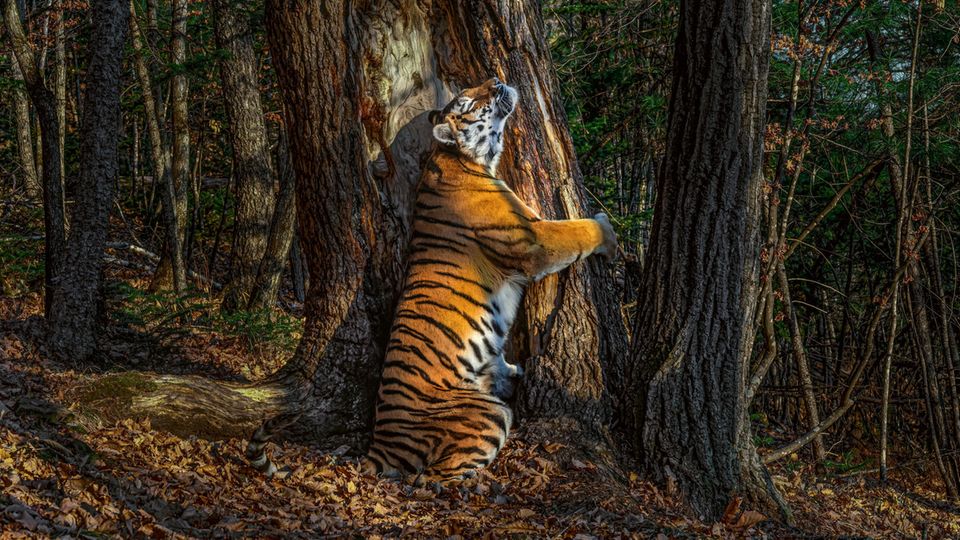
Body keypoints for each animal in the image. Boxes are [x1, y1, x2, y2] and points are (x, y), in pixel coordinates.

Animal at [361, 76, 618, 484]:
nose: (496, 80)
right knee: (434, 478)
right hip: (487, 414)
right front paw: (608, 231)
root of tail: (378, 444)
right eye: (468, 102)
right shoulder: (532, 239)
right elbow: (576, 230)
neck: (461, 159)